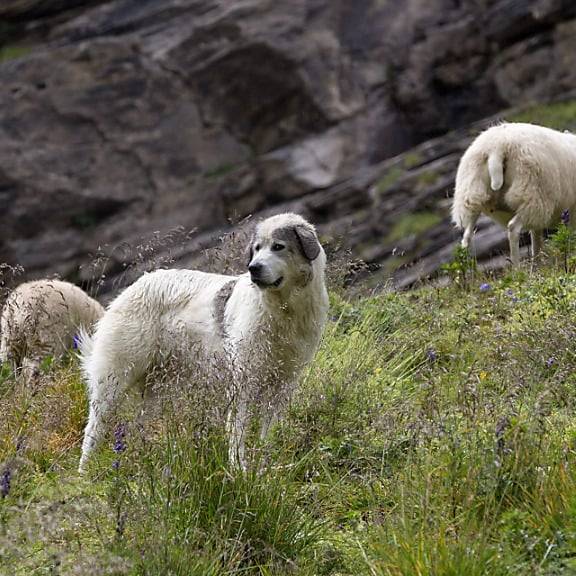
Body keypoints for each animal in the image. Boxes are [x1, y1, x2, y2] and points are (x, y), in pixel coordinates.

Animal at [77, 213, 328, 472]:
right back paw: (85, 471)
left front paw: (267, 465)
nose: (253, 268)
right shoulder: (244, 381)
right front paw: (239, 469)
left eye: (278, 247)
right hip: (115, 379)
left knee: (139, 427)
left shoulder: (285, 383)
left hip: (159, 388)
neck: (284, 310)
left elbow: (270, 430)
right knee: (94, 429)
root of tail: (137, 284)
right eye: (257, 249)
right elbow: (238, 429)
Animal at [452, 122, 576, 266]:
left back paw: (466, 270)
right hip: (532, 194)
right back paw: (517, 268)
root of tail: (496, 147)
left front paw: (537, 265)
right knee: (513, 228)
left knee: (467, 238)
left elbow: (536, 244)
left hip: (472, 193)